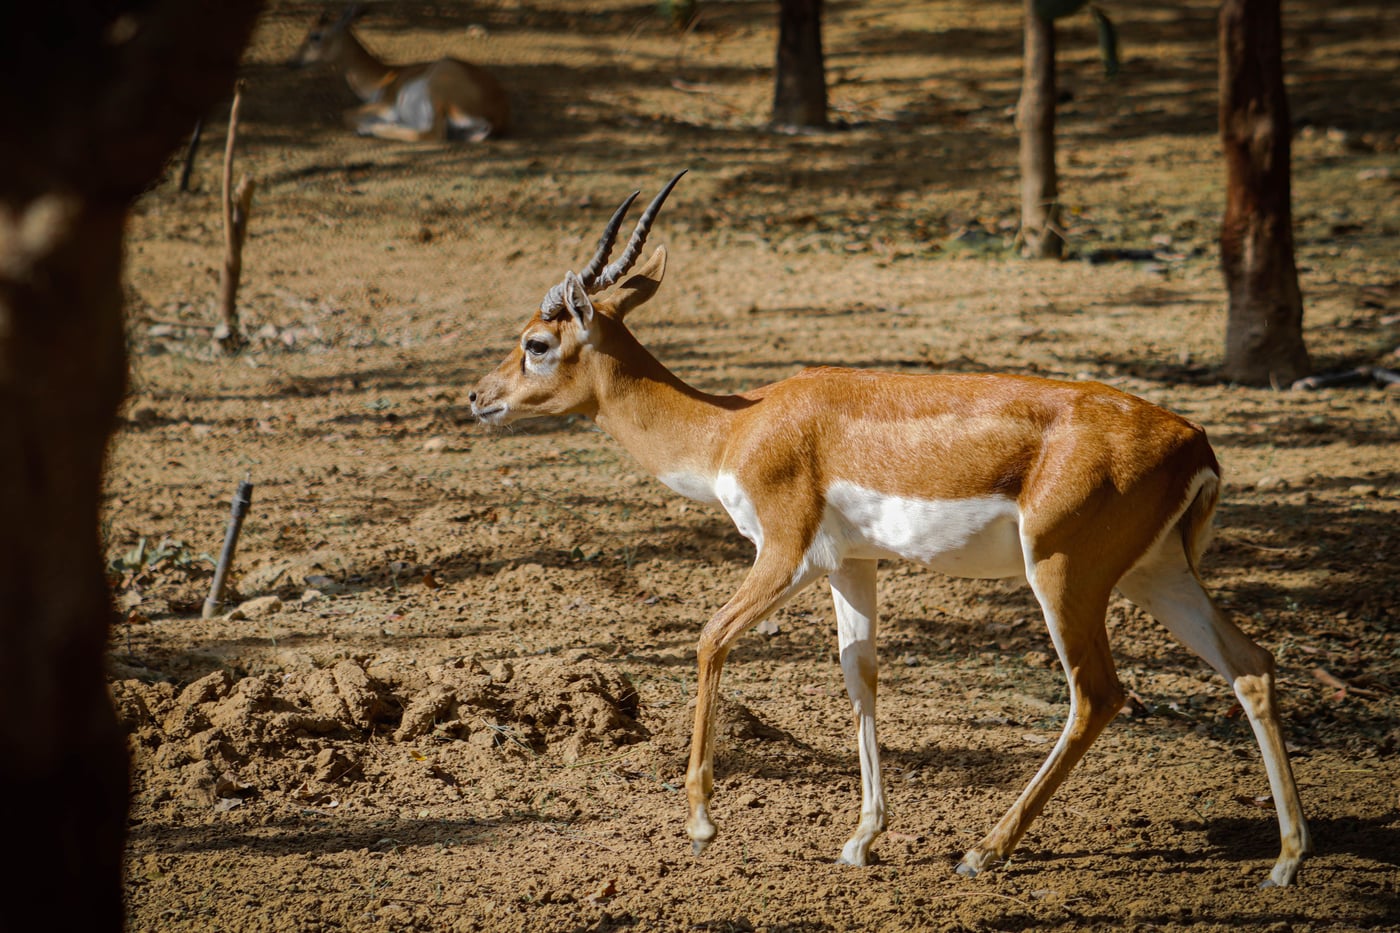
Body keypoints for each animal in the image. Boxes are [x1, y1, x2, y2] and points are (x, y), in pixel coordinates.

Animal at [291, 5, 510, 142]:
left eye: (315, 36)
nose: (292, 62)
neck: (383, 76)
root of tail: (497, 112)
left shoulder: (387, 105)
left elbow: (346, 115)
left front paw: (366, 126)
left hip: (439, 86)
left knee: (432, 134)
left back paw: (374, 129)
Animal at [468, 171, 1312, 887]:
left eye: (537, 342)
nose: (479, 396)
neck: (733, 428)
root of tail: (1195, 441)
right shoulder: (851, 564)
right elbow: (860, 672)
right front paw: (860, 839)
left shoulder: (784, 553)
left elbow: (710, 638)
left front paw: (703, 823)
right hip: (1155, 572)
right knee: (1250, 665)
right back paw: (1285, 860)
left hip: (1065, 573)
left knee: (1096, 694)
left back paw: (983, 850)